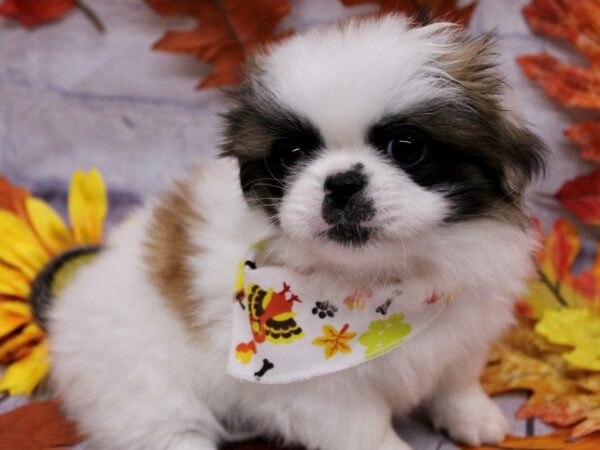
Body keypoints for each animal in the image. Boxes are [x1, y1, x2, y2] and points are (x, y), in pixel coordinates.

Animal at [49, 15, 548, 450]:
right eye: (290, 154)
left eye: (408, 147)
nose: (341, 182)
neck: (384, 283)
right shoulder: (319, 394)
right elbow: (367, 434)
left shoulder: (463, 333)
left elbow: (455, 381)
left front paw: (473, 416)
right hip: (141, 384)